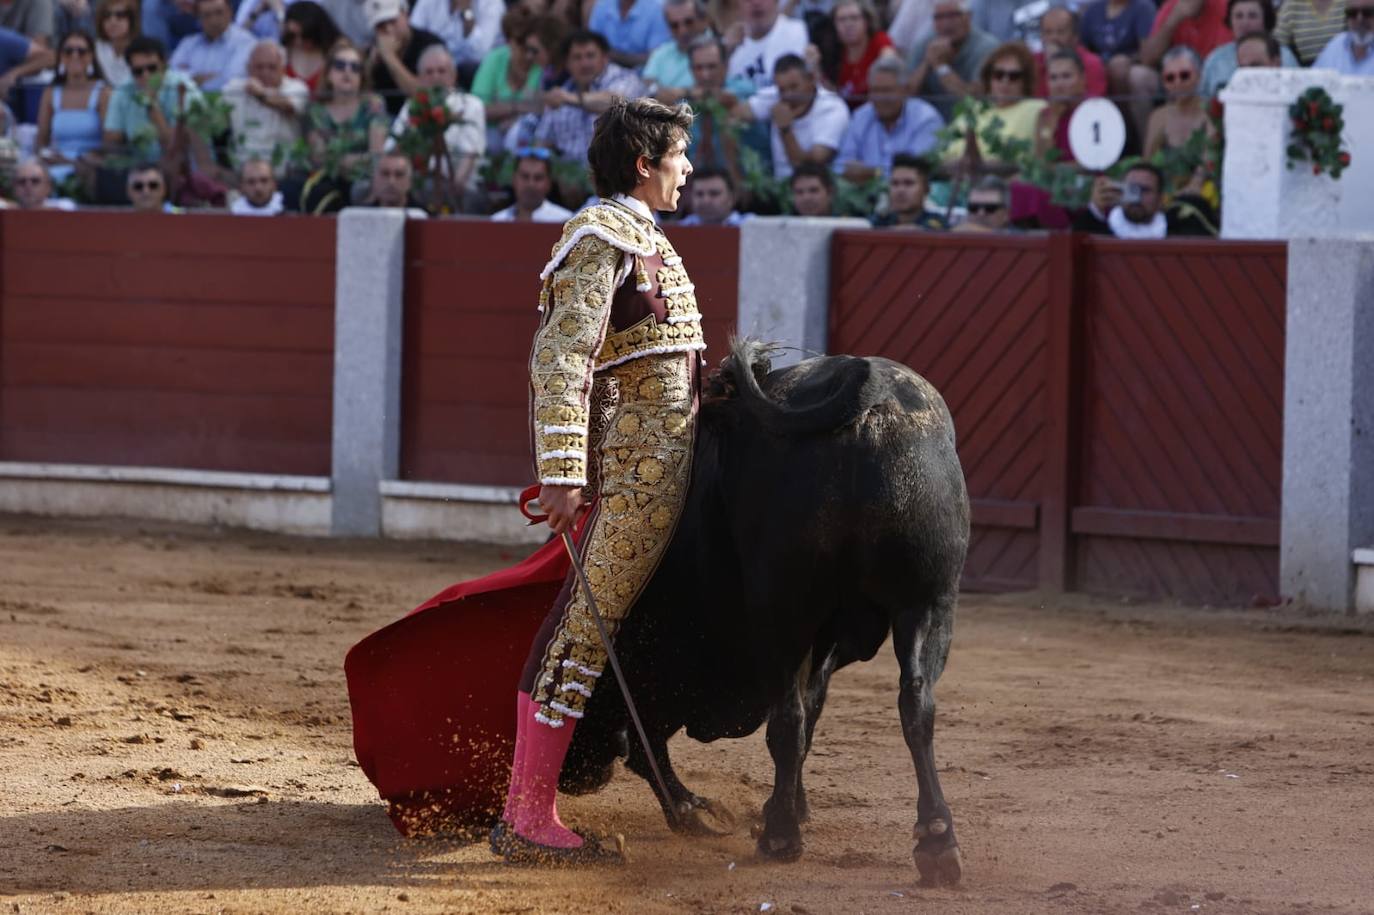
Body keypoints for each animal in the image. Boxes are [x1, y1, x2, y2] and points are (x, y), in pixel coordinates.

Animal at [555, 336, 967, 884]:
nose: (573, 775)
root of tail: (869, 397)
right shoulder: (829, 639)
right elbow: (812, 711)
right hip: (927, 601)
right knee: (914, 702)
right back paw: (936, 840)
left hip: (785, 611)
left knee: (789, 720)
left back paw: (779, 837)